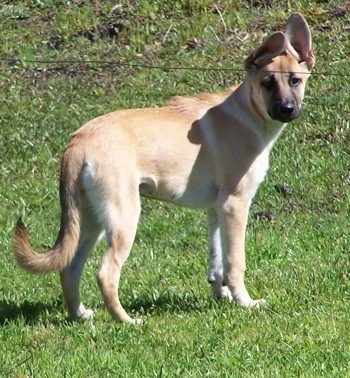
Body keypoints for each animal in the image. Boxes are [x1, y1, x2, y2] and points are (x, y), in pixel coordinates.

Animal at [13, 13, 314, 324]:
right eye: (268, 82)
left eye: (295, 80)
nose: (288, 109)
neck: (247, 113)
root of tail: (79, 142)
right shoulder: (235, 205)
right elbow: (235, 262)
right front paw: (245, 301)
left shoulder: (216, 210)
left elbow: (217, 261)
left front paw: (222, 295)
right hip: (123, 217)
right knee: (105, 273)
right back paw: (127, 320)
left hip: (89, 219)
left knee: (70, 267)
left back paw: (80, 315)